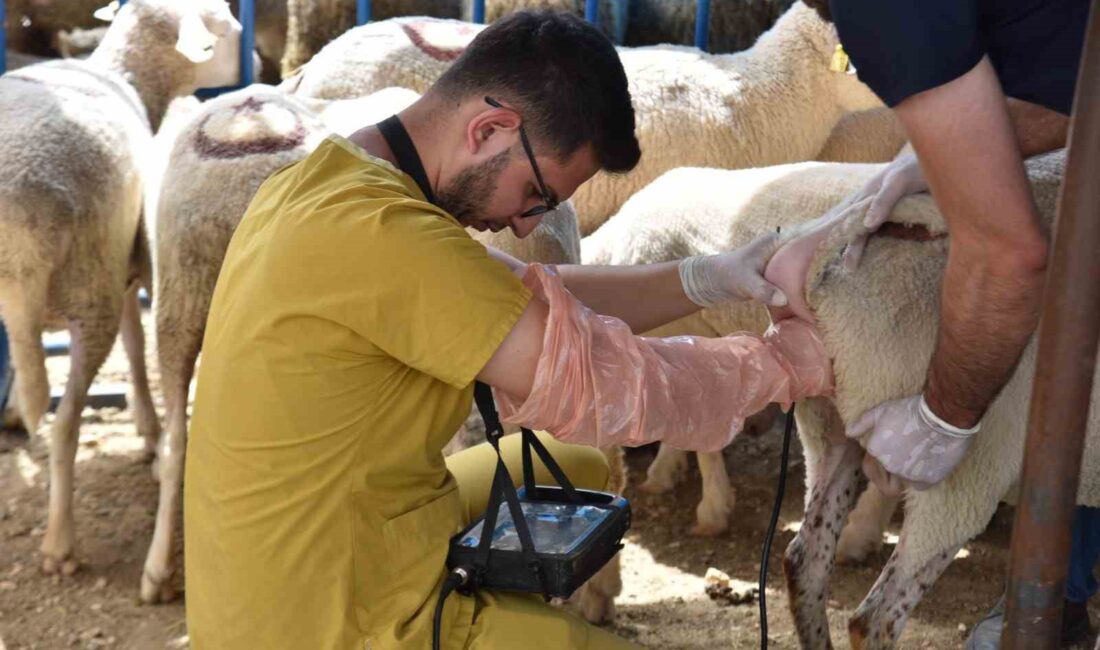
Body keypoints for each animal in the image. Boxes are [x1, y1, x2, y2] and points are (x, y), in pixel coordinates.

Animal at [0, 0, 244, 598]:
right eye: (219, 23)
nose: (243, 36)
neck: (127, 76)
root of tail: (18, 231)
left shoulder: (123, 270)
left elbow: (136, 345)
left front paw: (144, 425)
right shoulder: (122, 268)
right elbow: (136, 348)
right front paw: (150, 431)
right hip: (89, 291)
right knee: (65, 422)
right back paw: (59, 545)